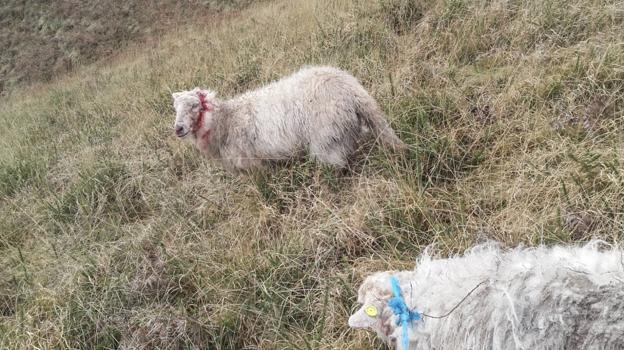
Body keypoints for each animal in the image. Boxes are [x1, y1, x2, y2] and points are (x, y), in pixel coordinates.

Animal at [171, 65, 404, 172]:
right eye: (175, 108)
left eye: (195, 106)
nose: (178, 129)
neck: (226, 120)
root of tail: (351, 88)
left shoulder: (255, 165)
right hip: (348, 128)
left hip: (326, 139)